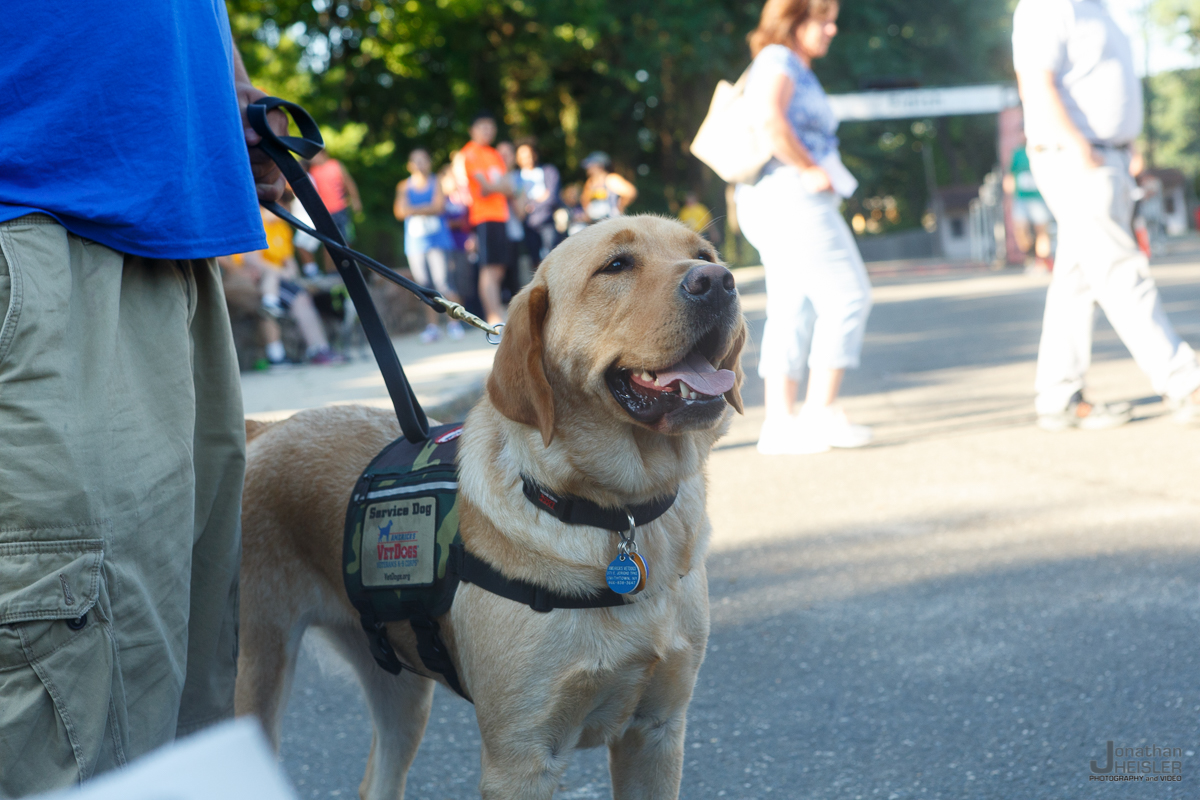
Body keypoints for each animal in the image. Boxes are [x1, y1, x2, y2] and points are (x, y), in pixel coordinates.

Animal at [234, 215, 744, 796]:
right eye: (616, 266)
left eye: (705, 253)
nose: (719, 280)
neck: (617, 513)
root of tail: (266, 429)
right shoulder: (520, 759)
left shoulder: (658, 731)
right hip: (255, 674)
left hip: (401, 691)